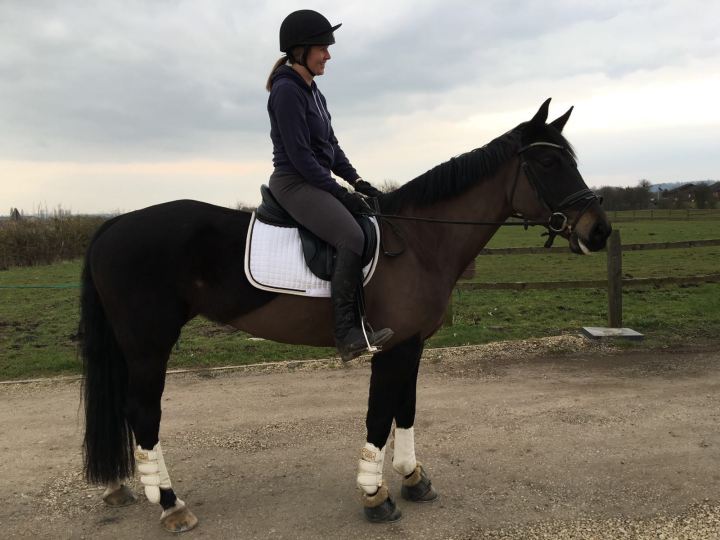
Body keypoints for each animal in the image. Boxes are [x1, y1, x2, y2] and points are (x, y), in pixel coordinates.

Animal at [79, 98, 611, 532]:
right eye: (548, 161)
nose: (599, 231)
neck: (419, 241)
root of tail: (113, 225)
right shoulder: (390, 347)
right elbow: (379, 416)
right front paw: (375, 495)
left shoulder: (413, 344)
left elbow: (406, 409)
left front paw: (412, 478)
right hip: (149, 344)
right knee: (143, 413)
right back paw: (171, 504)